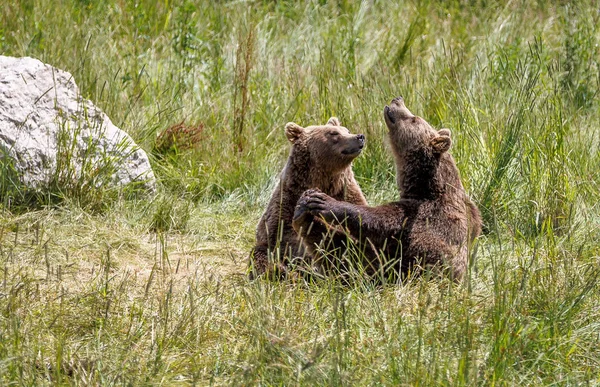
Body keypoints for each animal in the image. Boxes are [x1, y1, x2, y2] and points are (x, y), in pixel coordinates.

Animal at [246, 116, 368, 280]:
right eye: (333, 133)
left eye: (347, 130)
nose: (359, 136)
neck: (323, 179)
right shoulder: (287, 199)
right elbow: (284, 235)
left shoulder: (348, 193)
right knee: (260, 255)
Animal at [292, 98, 482, 282]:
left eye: (414, 118)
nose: (397, 99)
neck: (426, 185)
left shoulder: (423, 218)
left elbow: (376, 225)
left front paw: (323, 202)